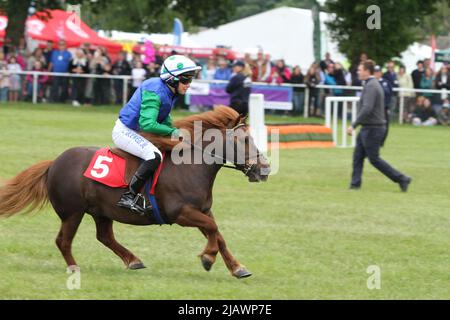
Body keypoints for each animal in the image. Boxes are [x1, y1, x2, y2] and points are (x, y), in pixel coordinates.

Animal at [0, 106, 268, 278]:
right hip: (72, 212)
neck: (191, 166)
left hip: (100, 211)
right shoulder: (182, 213)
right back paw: (75, 268)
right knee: (63, 241)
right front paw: (207, 258)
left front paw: (237, 268)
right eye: (244, 140)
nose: (264, 169)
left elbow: (218, 235)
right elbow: (213, 230)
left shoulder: (202, 211)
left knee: (104, 237)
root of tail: (54, 162)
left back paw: (133, 260)